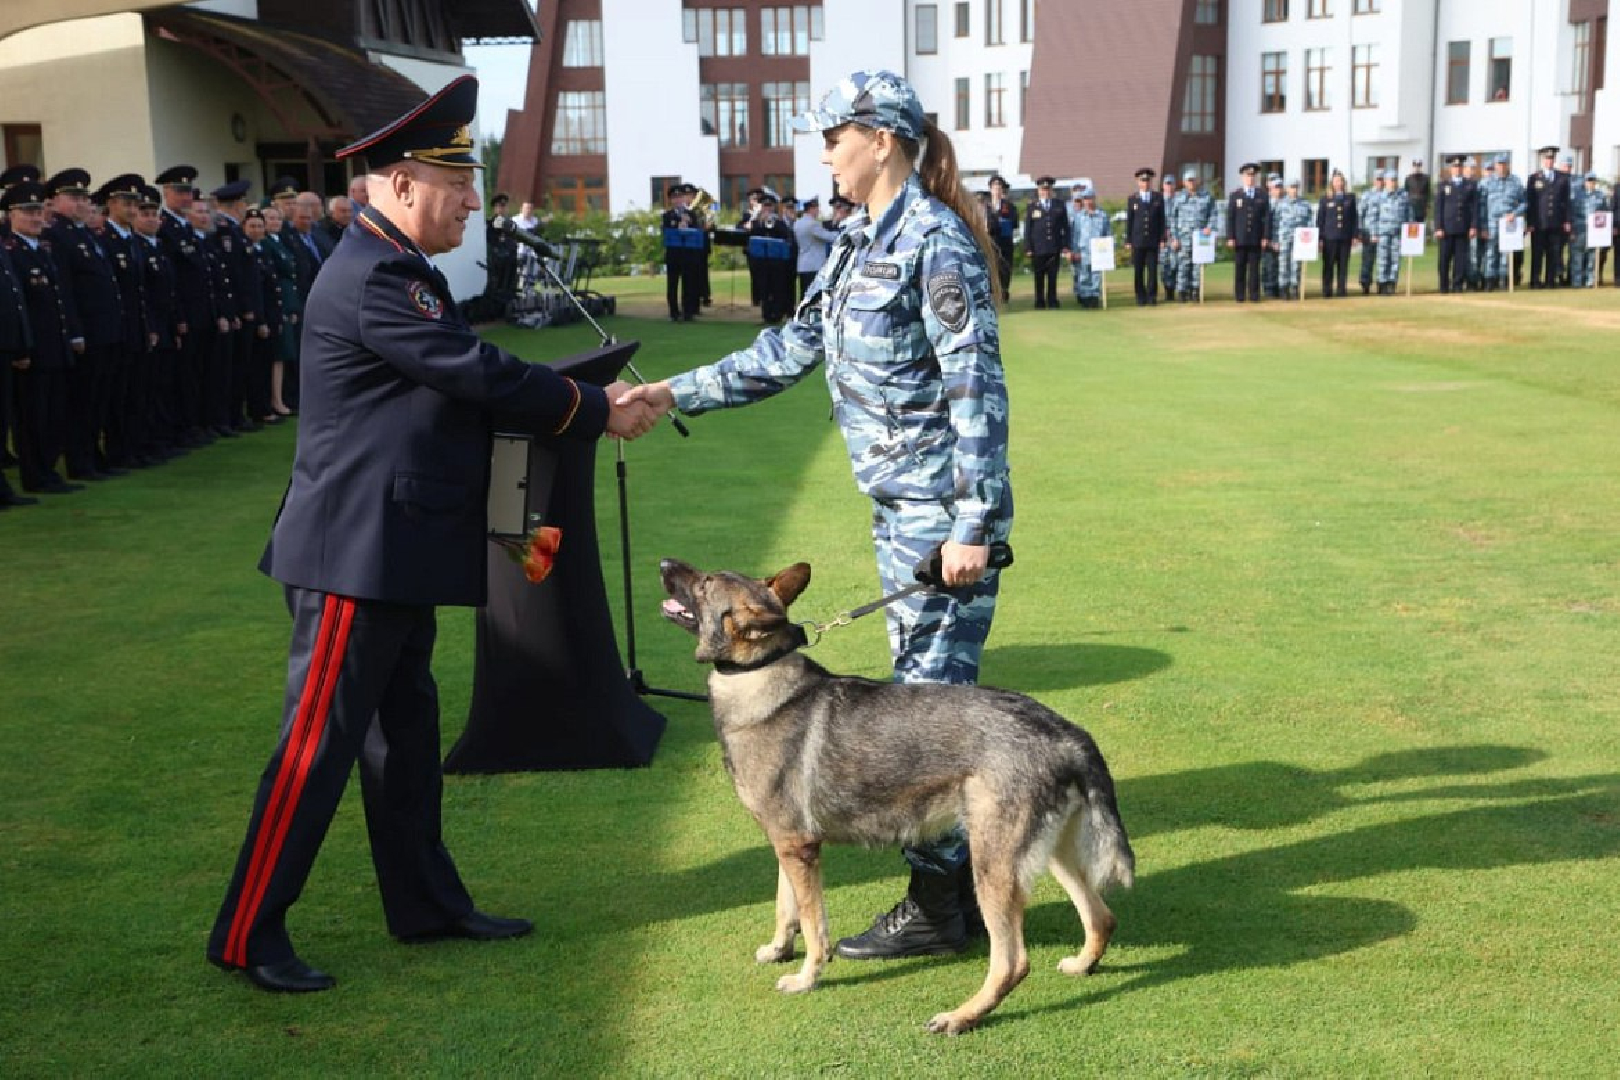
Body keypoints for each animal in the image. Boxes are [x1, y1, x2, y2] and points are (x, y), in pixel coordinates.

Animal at [657, 563, 1140, 1036]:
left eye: (704, 583)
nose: (663, 564)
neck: (758, 675)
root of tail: (1068, 733)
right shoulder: (788, 847)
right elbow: (784, 908)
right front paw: (778, 950)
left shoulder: (799, 848)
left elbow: (813, 927)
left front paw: (807, 978)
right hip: (1050, 855)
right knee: (1102, 917)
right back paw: (1081, 965)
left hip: (993, 867)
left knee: (1013, 962)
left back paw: (961, 1017)